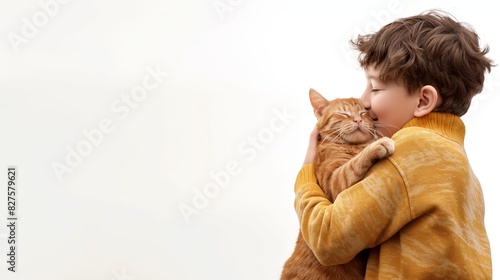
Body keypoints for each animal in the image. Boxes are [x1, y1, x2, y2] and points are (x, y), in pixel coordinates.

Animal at [282, 89, 394, 280]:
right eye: (344, 114)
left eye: (363, 113)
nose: (358, 120)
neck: (353, 146)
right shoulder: (334, 184)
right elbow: (354, 163)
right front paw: (378, 144)